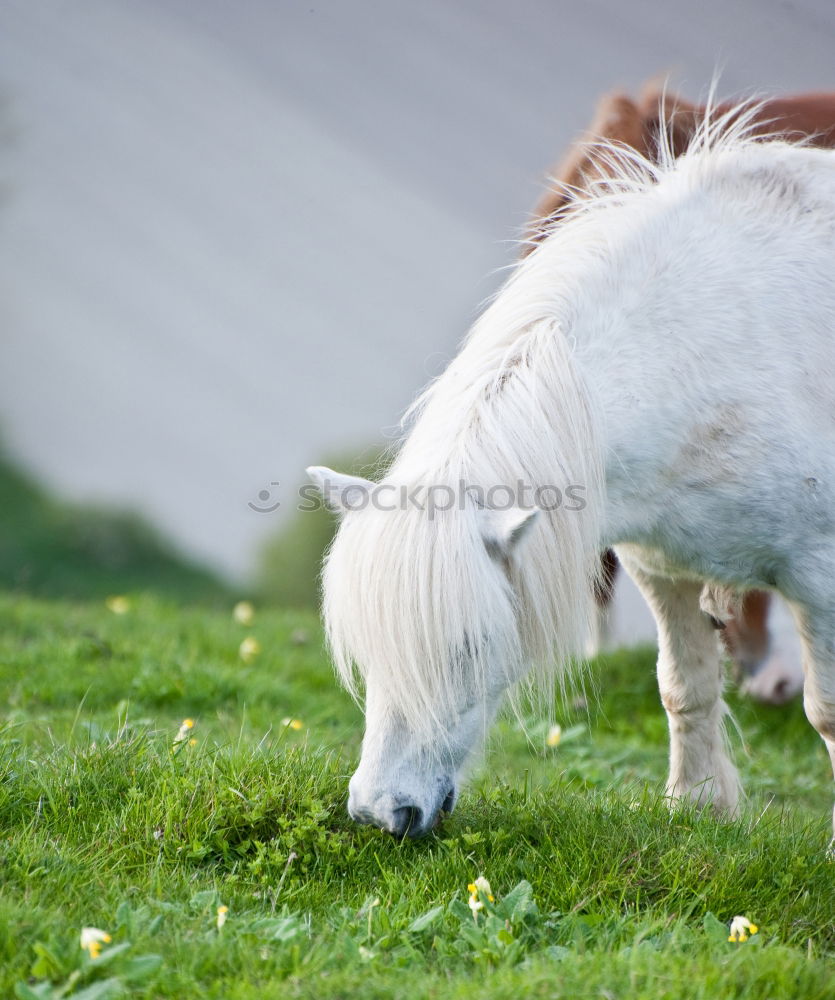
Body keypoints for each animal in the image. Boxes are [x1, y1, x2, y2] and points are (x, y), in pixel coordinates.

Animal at [306, 107, 835, 844]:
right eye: (371, 645)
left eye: (471, 644)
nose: (383, 811)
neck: (711, 355)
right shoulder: (664, 568)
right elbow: (685, 689)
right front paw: (697, 809)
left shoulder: (820, 579)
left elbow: (827, 713)